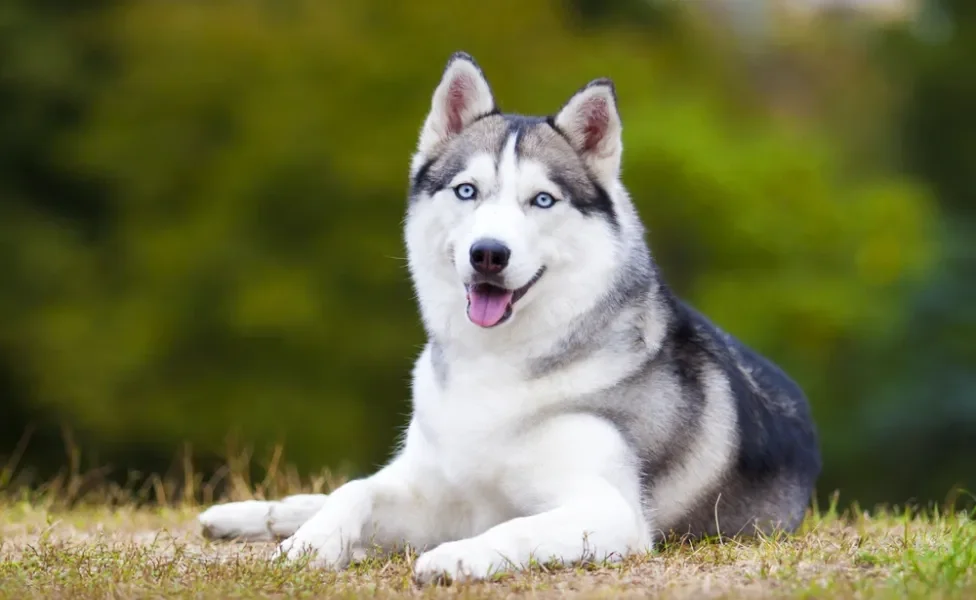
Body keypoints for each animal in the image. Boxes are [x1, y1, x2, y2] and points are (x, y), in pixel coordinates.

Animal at [200, 52, 824, 584]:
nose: (488, 254)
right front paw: (308, 545)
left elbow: (516, 527)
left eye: (542, 200)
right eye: (466, 191)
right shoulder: (438, 491)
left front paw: (453, 557)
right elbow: (355, 490)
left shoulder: (609, 510)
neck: (496, 366)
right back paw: (250, 515)